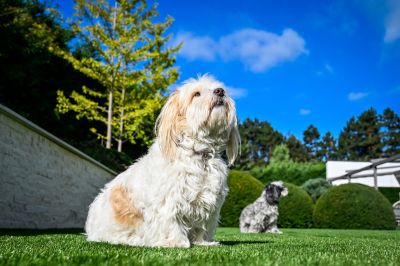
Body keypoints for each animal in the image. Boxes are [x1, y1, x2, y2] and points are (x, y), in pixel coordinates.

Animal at [85, 75, 239, 247]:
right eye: (196, 94)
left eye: (220, 88)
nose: (220, 91)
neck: (200, 155)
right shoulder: (169, 200)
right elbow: (171, 221)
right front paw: (176, 242)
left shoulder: (209, 203)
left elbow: (203, 225)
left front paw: (203, 242)